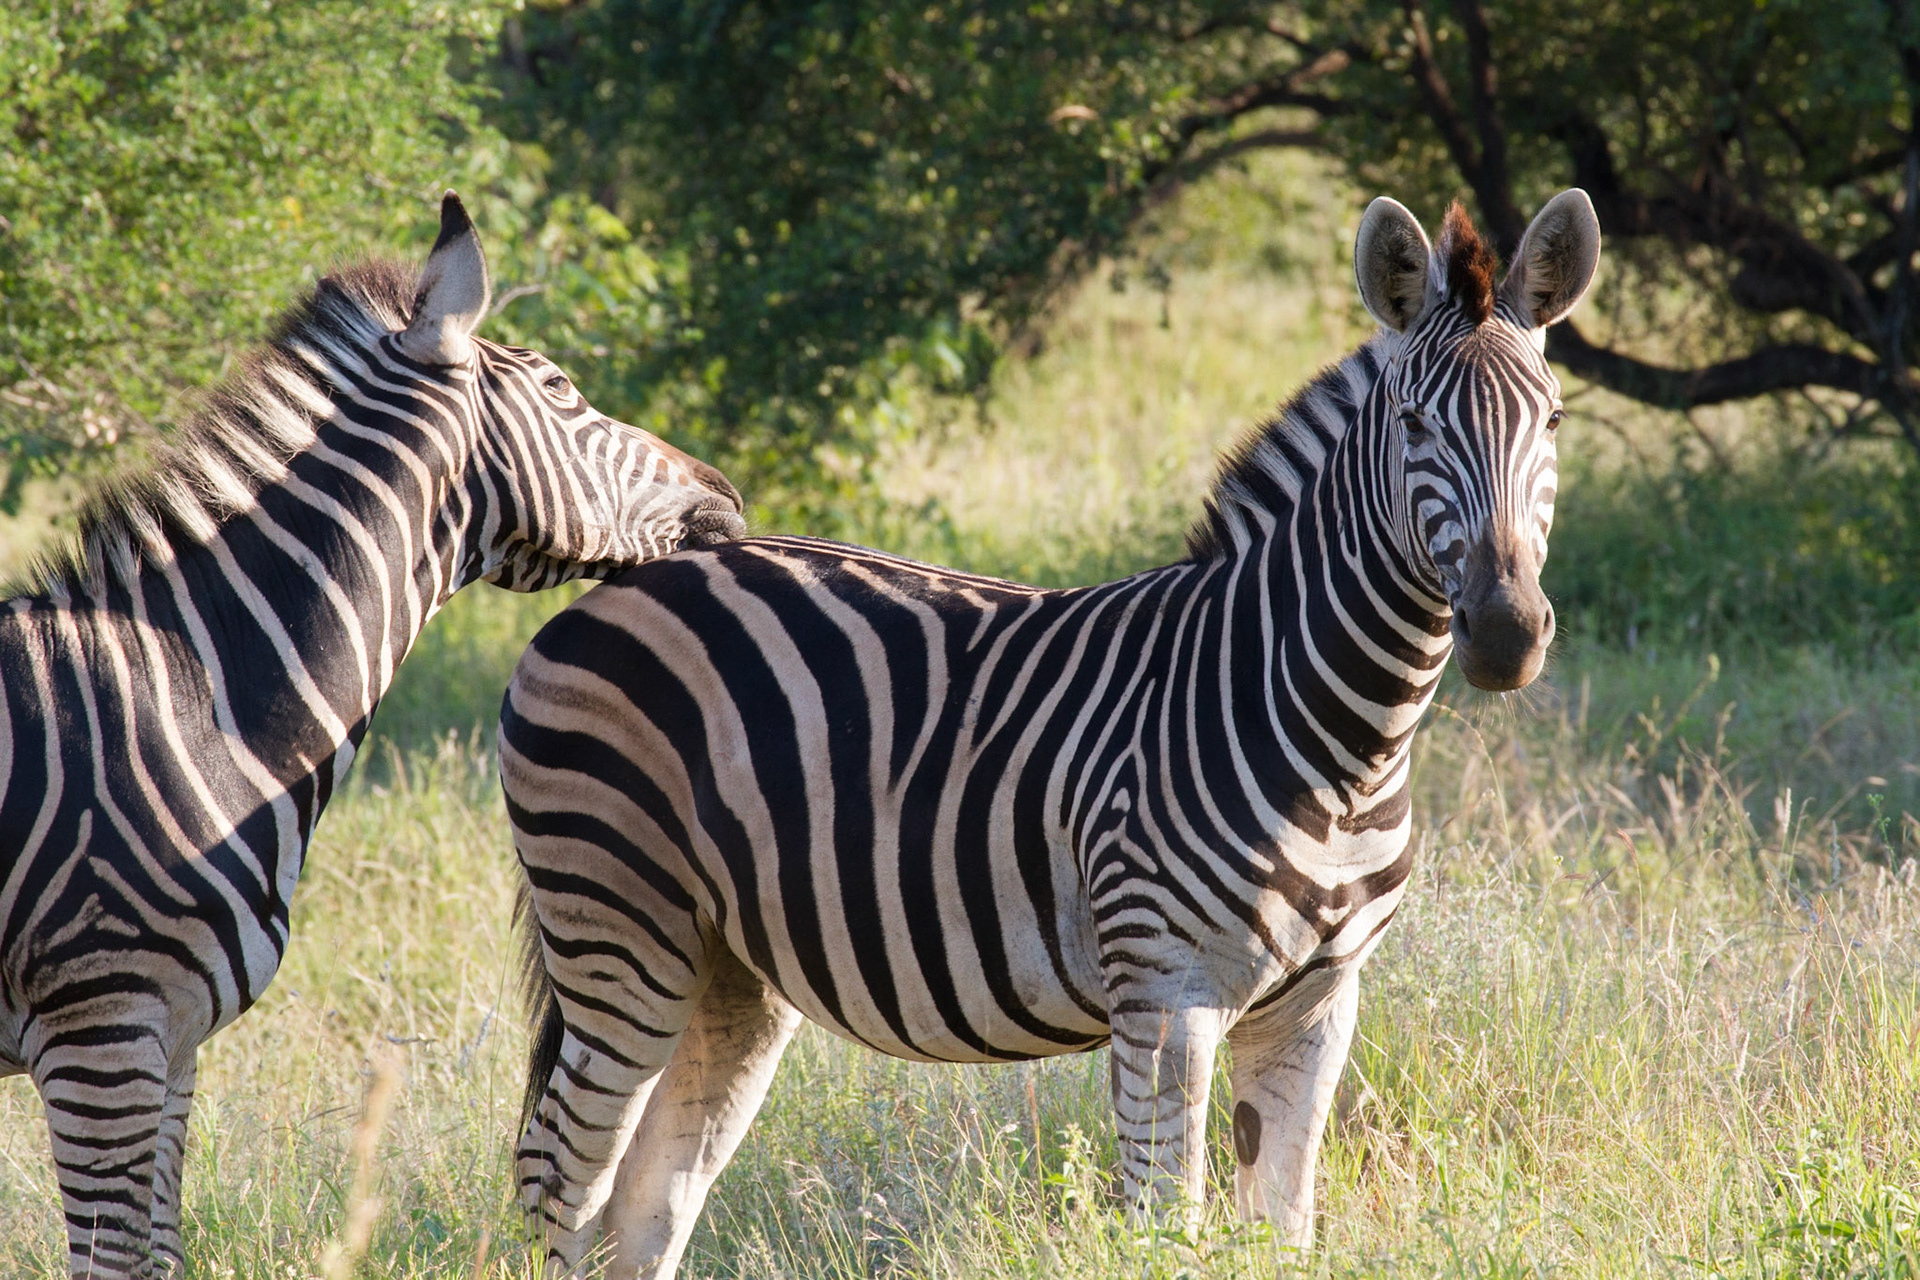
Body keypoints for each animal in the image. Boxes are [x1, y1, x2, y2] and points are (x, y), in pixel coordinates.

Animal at [0, 192, 744, 1279]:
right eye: (563, 389)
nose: (728, 497)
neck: (193, 697)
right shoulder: (100, 1029)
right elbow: (113, 1260)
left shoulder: (172, 1038)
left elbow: (158, 1252)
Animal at [501, 190, 1601, 1277]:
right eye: (1414, 423)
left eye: (1551, 418)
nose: (1507, 632)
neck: (1340, 742)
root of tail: (626, 577)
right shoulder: (1165, 995)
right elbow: (1165, 1228)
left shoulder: (1321, 1003)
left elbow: (1282, 1228)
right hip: (619, 923)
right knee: (560, 1174)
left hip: (727, 960)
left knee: (649, 1194)